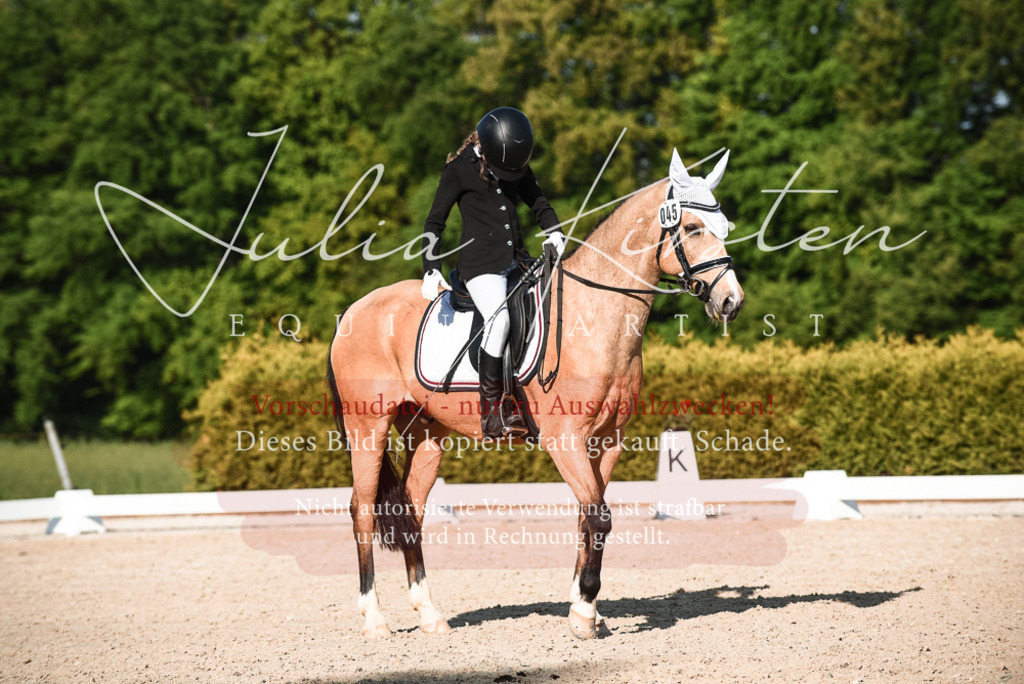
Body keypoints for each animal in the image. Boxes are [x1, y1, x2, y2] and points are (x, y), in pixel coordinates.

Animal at [326, 148, 744, 639]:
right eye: (693, 228)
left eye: (724, 227)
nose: (731, 301)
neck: (595, 316)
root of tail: (353, 311)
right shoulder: (565, 440)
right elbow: (598, 516)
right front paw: (584, 613)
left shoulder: (608, 441)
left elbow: (587, 515)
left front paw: (585, 607)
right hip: (367, 425)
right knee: (362, 509)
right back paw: (375, 620)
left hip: (426, 432)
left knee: (412, 509)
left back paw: (430, 615)